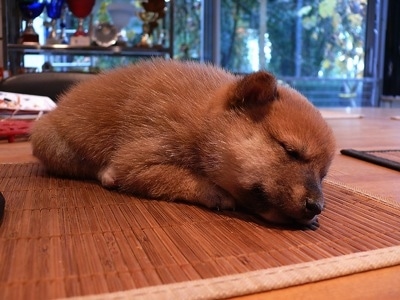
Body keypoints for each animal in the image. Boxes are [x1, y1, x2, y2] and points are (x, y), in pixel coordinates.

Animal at [31, 58, 336, 227]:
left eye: (323, 175)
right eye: (290, 151)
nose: (316, 207)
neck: (200, 120)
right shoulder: (137, 160)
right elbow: (185, 179)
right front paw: (216, 193)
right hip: (55, 146)